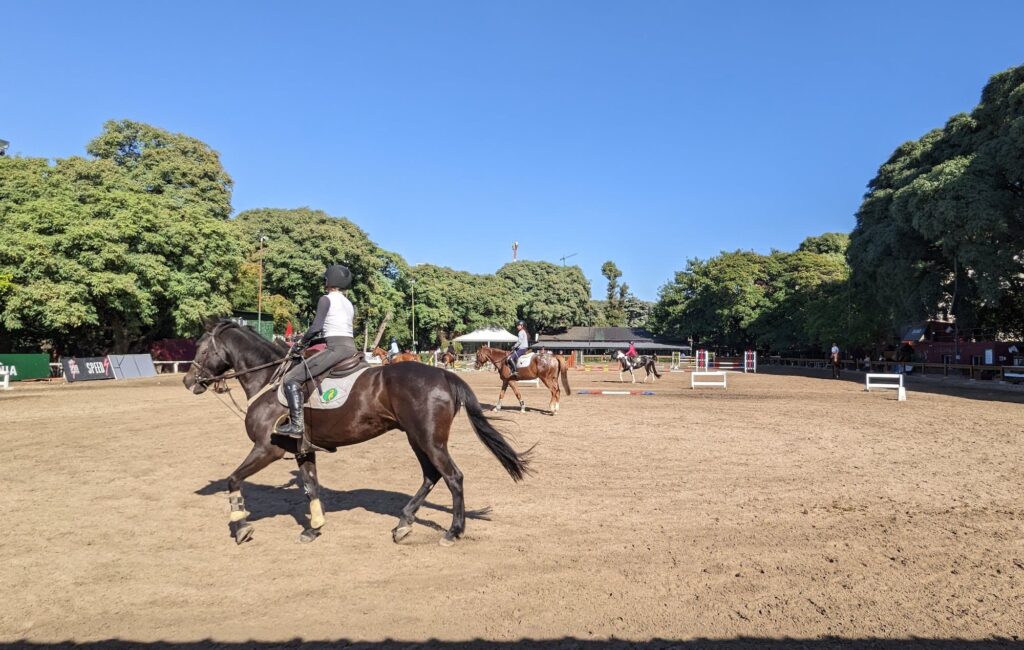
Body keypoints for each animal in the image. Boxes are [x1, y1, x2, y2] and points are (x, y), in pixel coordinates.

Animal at [184, 323, 532, 548]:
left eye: (201, 348)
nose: (189, 381)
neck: (271, 377)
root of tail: (445, 375)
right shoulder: (303, 450)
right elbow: (310, 488)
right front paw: (314, 528)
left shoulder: (267, 449)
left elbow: (233, 479)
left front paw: (241, 525)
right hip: (416, 437)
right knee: (432, 475)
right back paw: (404, 523)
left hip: (428, 439)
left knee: (453, 477)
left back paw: (452, 532)